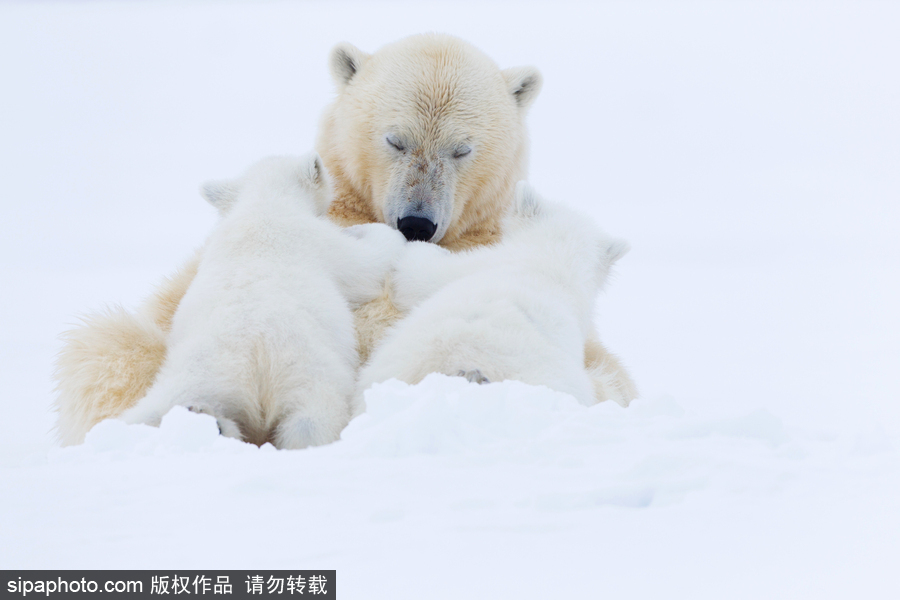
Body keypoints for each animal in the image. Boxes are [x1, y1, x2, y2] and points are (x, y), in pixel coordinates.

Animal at [118, 152, 404, 448]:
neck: (263, 205)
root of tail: (252, 372)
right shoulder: (318, 240)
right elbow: (368, 262)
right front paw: (366, 232)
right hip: (307, 371)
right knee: (312, 419)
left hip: (193, 374)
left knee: (154, 407)